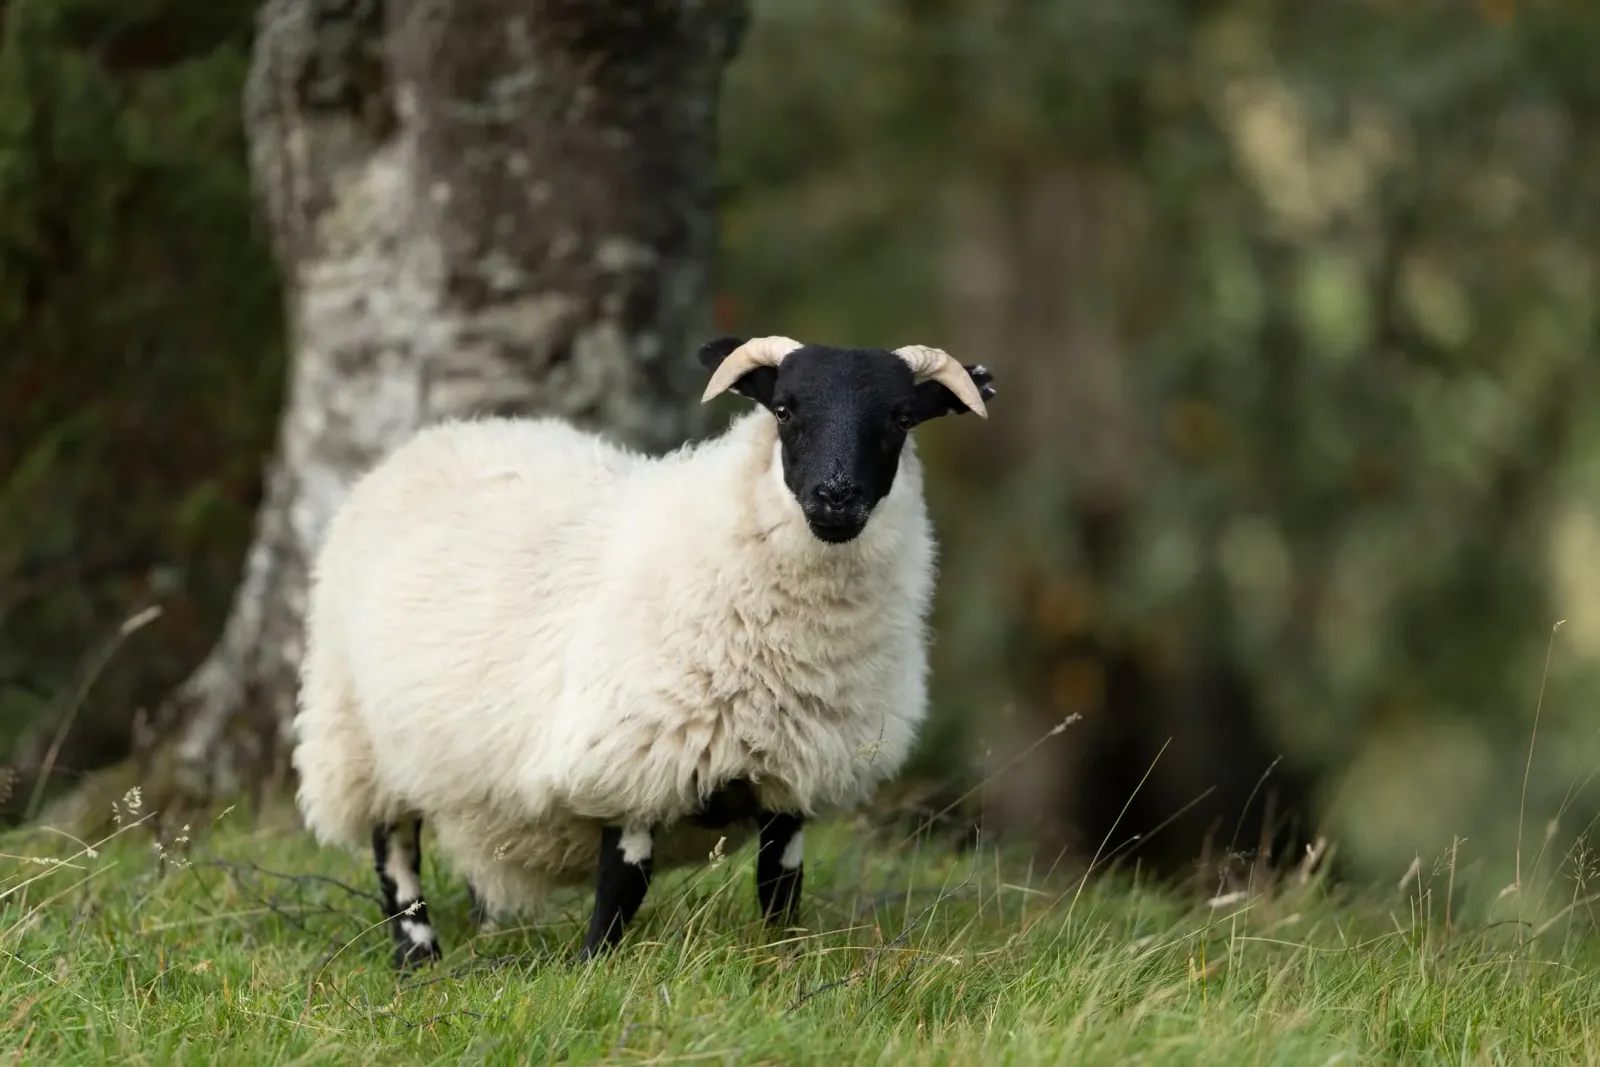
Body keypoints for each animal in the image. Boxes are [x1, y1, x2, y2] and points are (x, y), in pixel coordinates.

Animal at [290, 335, 996, 969]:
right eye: (784, 409)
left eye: (901, 417)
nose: (835, 496)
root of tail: (447, 434)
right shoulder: (631, 765)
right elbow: (622, 889)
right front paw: (591, 971)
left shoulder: (789, 780)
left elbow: (780, 888)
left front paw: (781, 966)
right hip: (358, 735)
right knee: (395, 852)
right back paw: (419, 960)